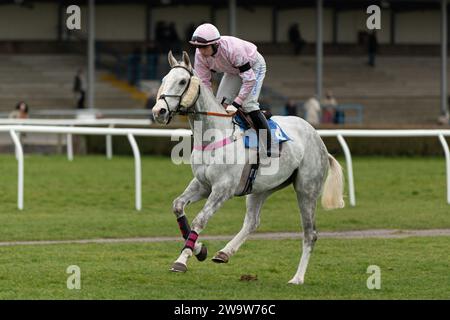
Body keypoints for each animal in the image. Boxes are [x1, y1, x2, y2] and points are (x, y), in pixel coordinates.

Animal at [152, 51, 344, 284]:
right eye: (163, 80)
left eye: (181, 81)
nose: (159, 111)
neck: (214, 136)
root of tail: (320, 141)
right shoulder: (202, 184)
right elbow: (178, 206)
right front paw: (200, 249)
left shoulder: (222, 190)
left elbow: (200, 220)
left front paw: (182, 259)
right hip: (261, 188)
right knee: (253, 221)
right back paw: (224, 253)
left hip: (306, 190)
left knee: (310, 233)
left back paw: (297, 278)